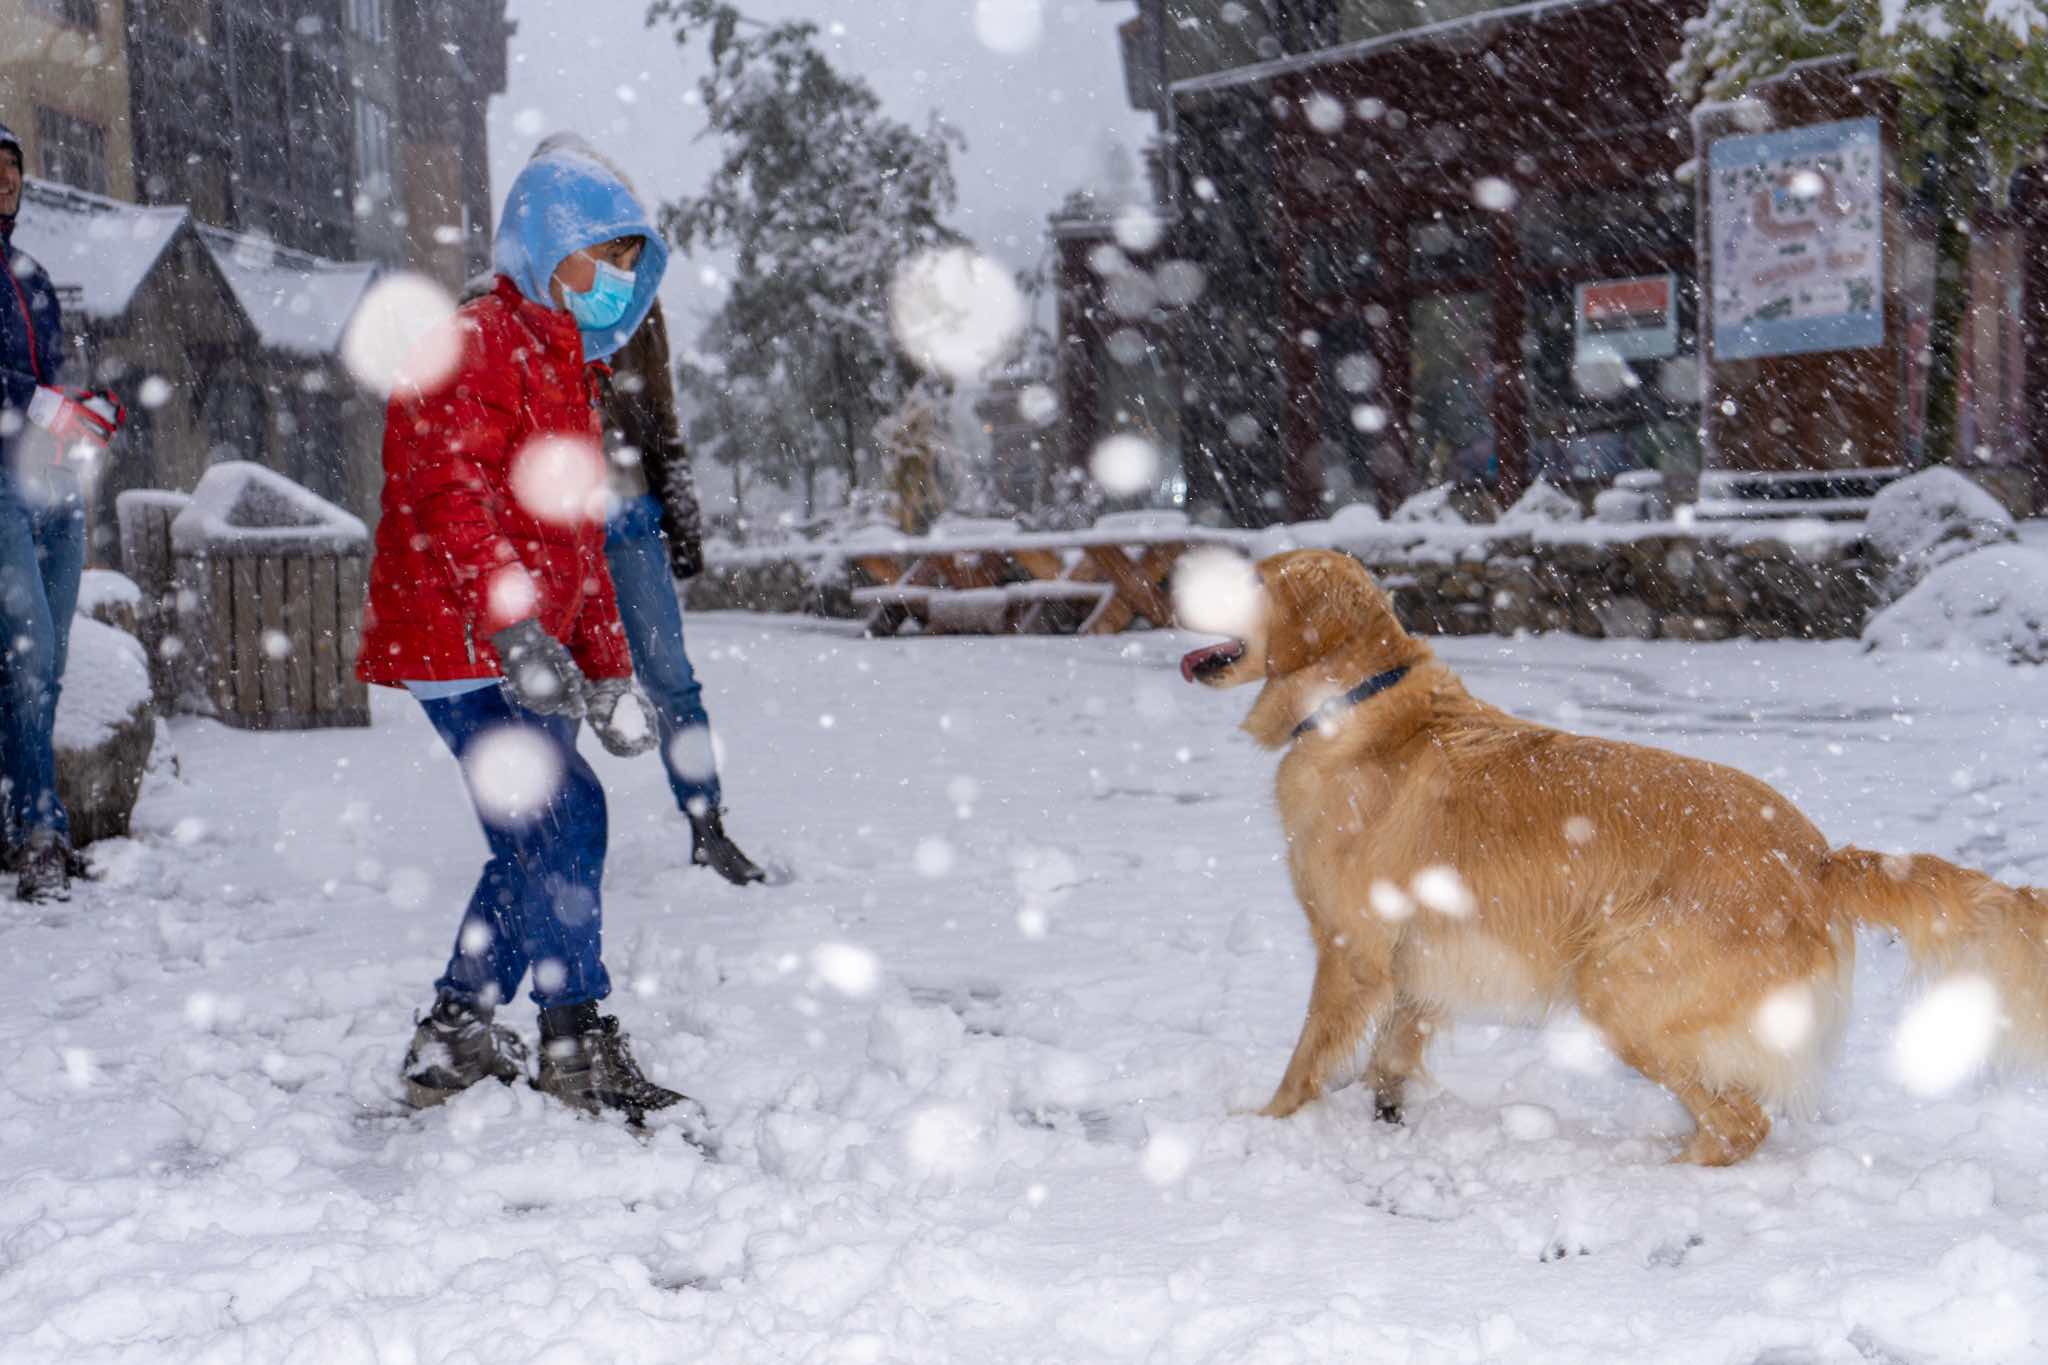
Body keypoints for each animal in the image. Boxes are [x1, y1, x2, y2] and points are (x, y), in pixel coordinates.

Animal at [1187, 548, 2048, 1162]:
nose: (1172, 577)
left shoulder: (1349, 950)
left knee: (1742, 1125)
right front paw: (1386, 1119)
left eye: (1253, 578)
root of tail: (1818, 859)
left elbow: (1306, 1058)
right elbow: (1391, 1056)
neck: (1353, 704)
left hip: (1620, 987)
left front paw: (1265, 1123)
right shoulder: (1416, 960)